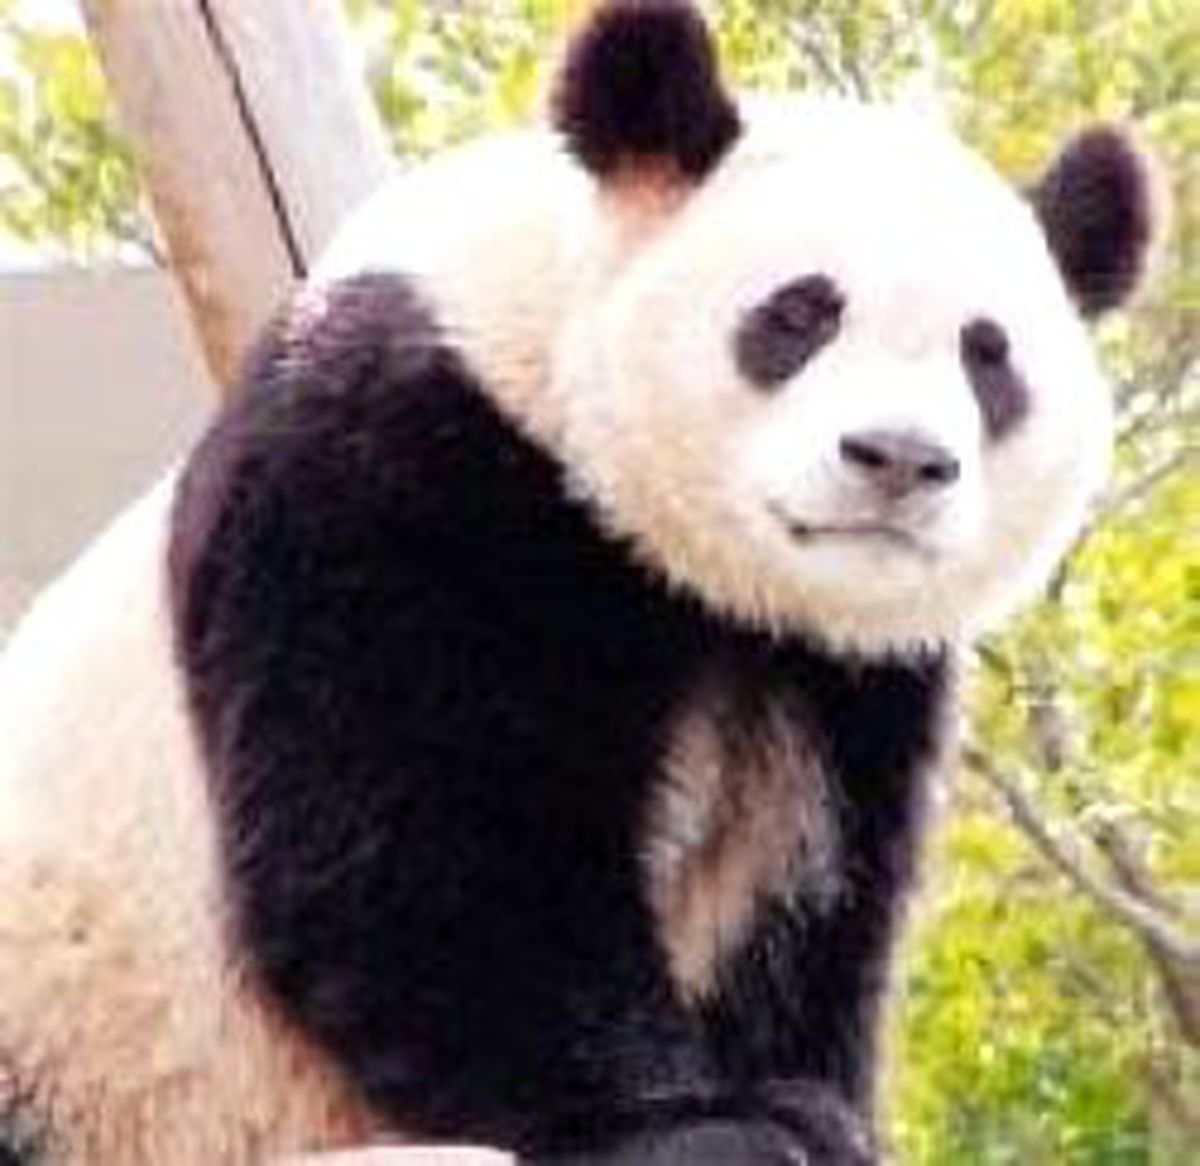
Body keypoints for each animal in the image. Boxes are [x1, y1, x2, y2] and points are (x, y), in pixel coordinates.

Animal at [0, 1, 1156, 1163]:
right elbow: (436, 850)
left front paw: (808, 1104)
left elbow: (811, 914)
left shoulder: (850, 675)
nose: (901, 458)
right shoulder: (403, 466)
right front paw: (704, 1125)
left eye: (988, 356)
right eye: (800, 313)